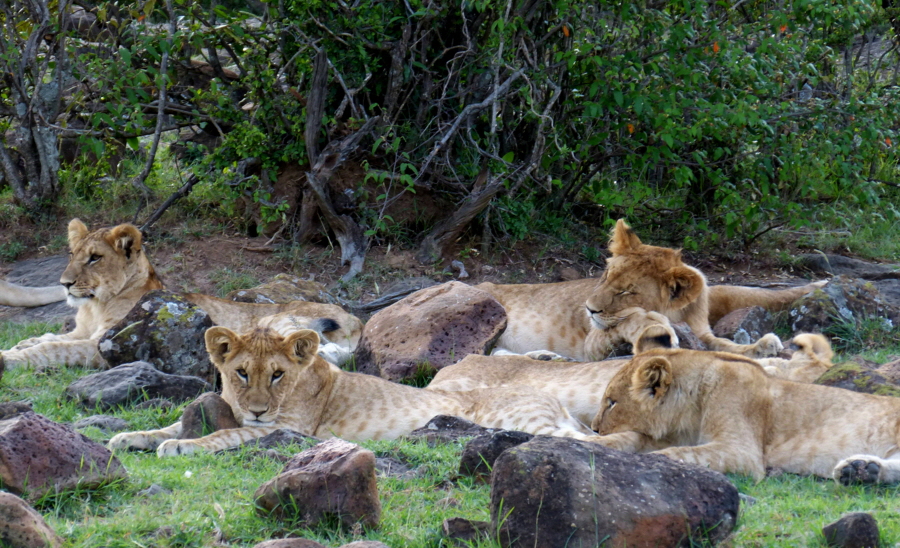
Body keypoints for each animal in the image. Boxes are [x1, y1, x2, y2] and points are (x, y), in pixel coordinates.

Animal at [4, 220, 362, 370]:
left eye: (94, 258)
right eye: (72, 254)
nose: (64, 283)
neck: (94, 306)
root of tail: (356, 318)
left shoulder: (105, 344)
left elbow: (53, 348)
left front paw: (9, 358)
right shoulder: (83, 331)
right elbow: (48, 337)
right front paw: (19, 345)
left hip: (279, 322)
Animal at [112, 324, 600, 456]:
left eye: (277, 374)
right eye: (242, 373)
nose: (257, 409)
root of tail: (553, 399)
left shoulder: (290, 430)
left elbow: (225, 433)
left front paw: (183, 447)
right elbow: (169, 425)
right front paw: (128, 437)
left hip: (521, 420)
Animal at [478, 218, 824, 360]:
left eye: (626, 291)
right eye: (605, 277)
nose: (589, 309)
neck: (682, 312)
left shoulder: (703, 327)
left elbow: (728, 335)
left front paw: (761, 347)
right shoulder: (592, 344)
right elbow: (631, 321)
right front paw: (655, 326)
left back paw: (544, 357)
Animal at [592, 346, 900, 484]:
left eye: (612, 403)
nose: (594, 427)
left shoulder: (741, 451)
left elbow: (681, 453)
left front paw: (654, 463)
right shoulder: (672, 435)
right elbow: (631, 437)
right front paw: (592, 442)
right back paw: (860, 470)